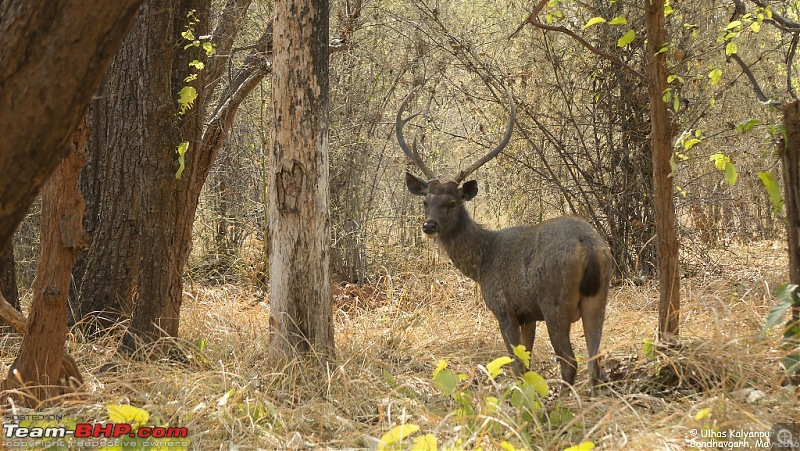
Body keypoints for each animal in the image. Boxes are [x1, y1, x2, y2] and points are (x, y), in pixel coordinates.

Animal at [396, 86, 612, 386]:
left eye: (452, 203)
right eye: (426, 201)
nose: (429, 226)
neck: (482, 261)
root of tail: (588, 246)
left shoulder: (504, 308)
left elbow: (517, 366)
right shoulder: (528, 315)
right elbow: (528, 362)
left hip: (554, 301)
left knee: (570, 361)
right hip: (599, 298)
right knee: (596, 363)